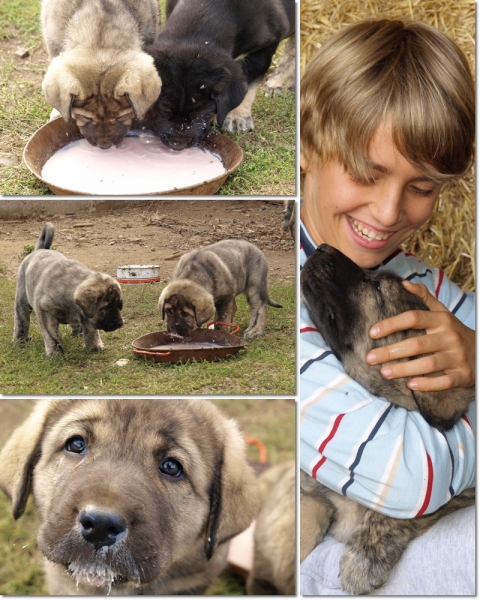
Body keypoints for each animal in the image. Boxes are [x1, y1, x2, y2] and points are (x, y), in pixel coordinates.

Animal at [145, 0, 296, 150]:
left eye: (200, 113)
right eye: (164, 109)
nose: (177, 145)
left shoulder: (266, 45)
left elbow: (250, 83)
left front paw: (237, 117)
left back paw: (276, 84)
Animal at [300, 241, 476, 592]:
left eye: (377, 287)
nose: (323, 247)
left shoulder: (463, 492)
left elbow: (411, 509)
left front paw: (364, 555)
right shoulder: (312, 496)